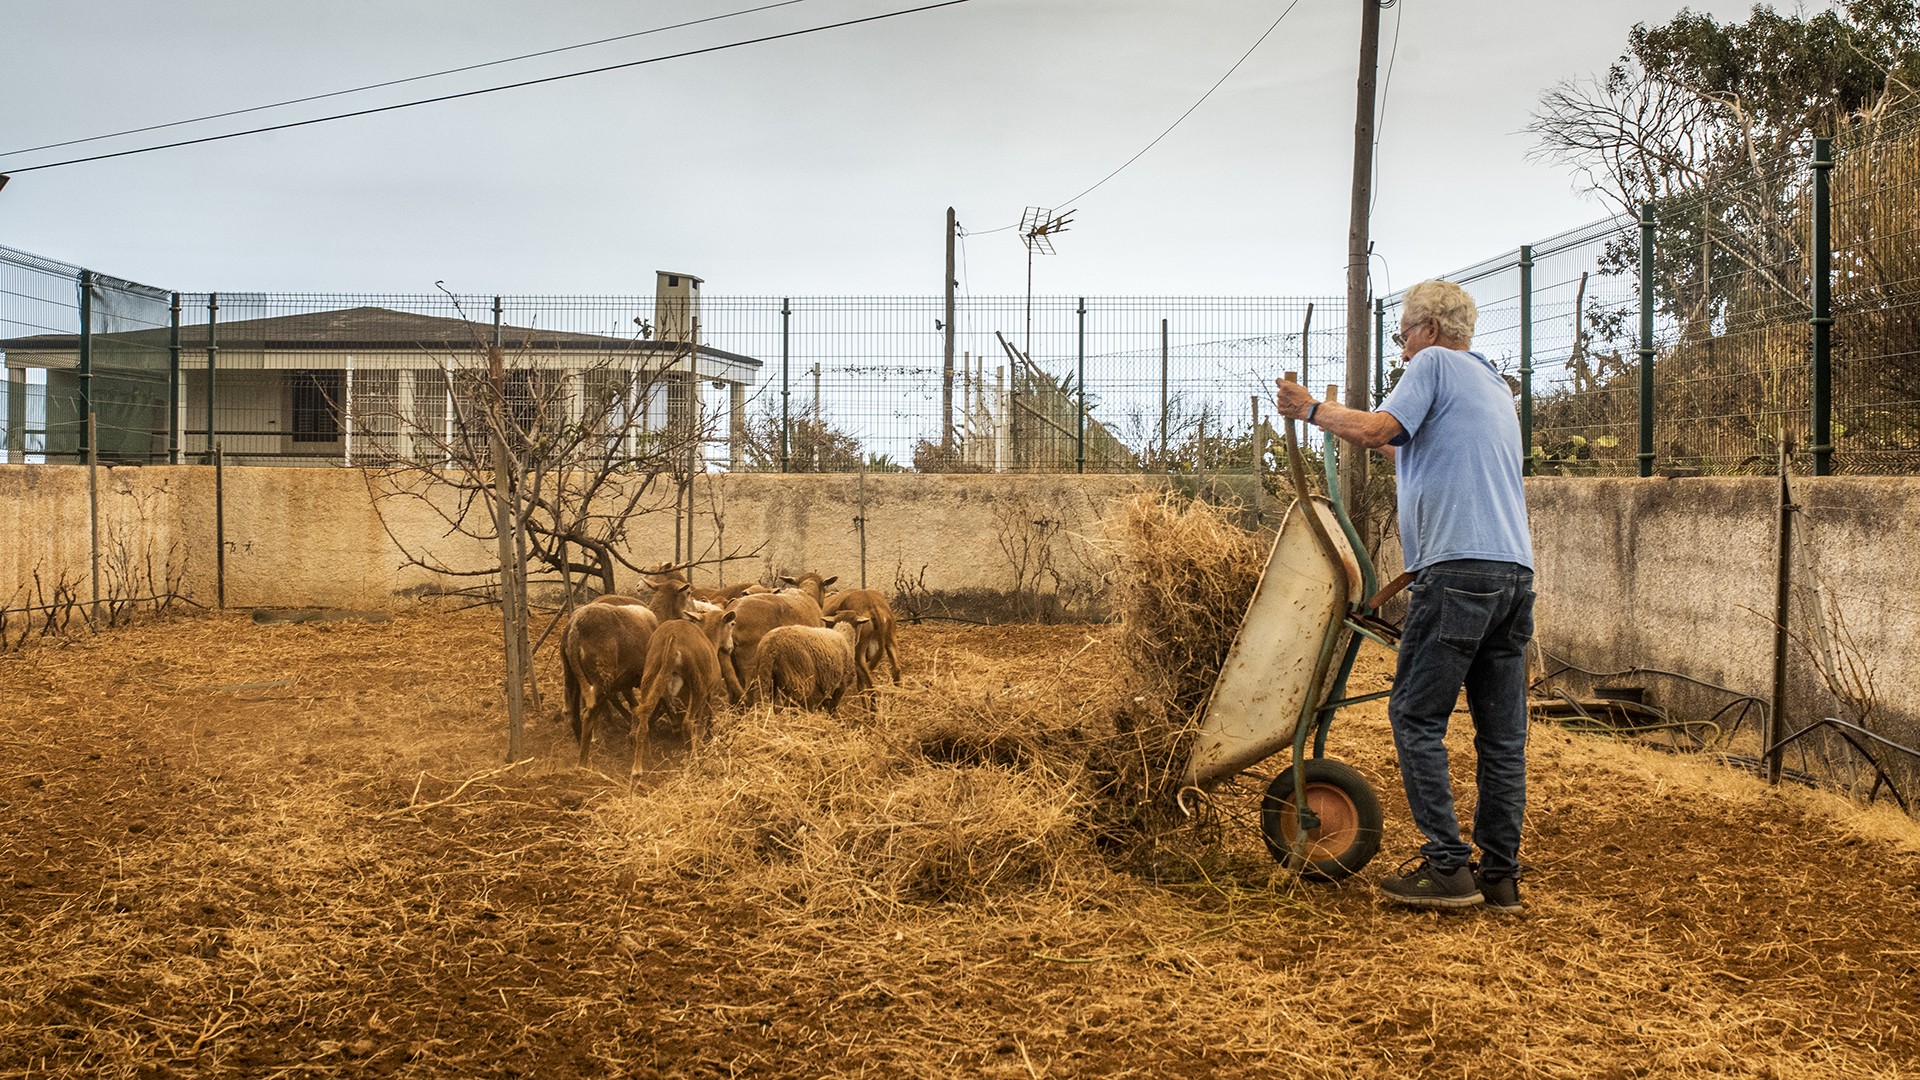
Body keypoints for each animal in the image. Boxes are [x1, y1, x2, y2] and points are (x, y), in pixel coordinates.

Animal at [637, 607, 741, 772]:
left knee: (643, 721)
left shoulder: (683, 698)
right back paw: (695, 761)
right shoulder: (710, 694)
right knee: (688, 723)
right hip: (698, 684)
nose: (730, 648)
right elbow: (703, 723)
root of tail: (672, 638)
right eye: (732, 624)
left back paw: (637, 770)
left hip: (650, 674)